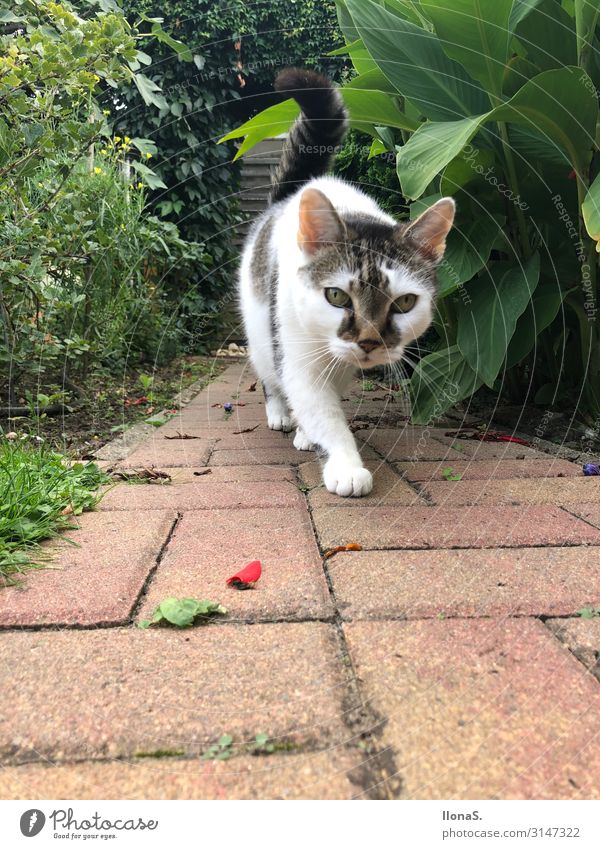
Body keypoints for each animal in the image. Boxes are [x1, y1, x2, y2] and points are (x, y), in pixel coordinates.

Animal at [239, 68, 454, 496]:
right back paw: (280, 414)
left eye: (404, 303)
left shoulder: (339, 366)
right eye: (336, 296)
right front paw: (345, 463)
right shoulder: (297, 352)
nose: (368, 342)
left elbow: (328, 403)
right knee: (269, 375)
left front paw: (313, 436)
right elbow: (319, 407)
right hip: (260, 329)